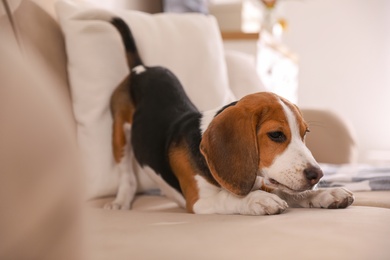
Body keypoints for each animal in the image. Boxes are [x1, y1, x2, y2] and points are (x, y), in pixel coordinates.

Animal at [104, 17, 354, 214]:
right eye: (276, 135)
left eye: (305, 133)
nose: (317, 174)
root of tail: (141, 68)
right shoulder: (199, 201)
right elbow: (230, 197)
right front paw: (258, 200)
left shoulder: (263, 179)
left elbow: (289, 192)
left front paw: (326, 194)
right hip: (119, 135)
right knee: (126, 175)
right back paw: (121, 201)